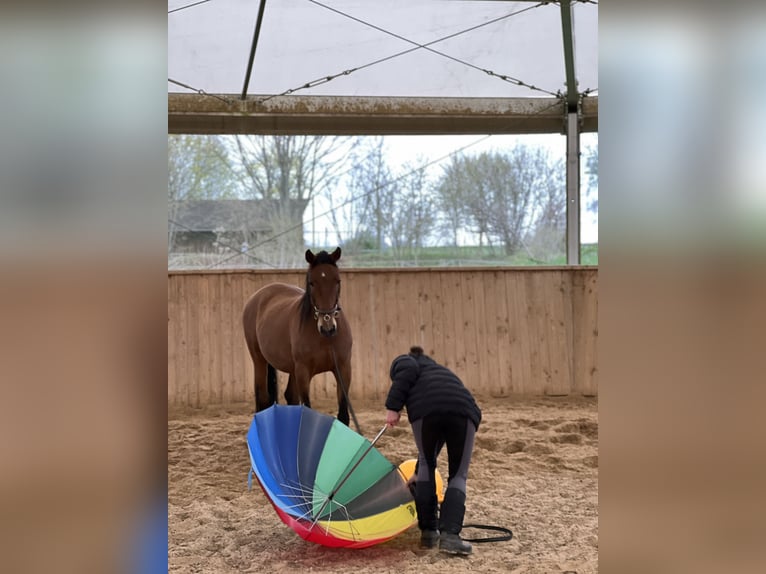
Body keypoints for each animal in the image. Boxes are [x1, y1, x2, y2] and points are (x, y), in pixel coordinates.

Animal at [243, 248, 354, 428]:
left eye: (338, 281)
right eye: (312, 283)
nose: (328, 327)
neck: (325, 340)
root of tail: (258, 296)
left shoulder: (344, 369)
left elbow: (343, 415)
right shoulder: (303, 371)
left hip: (292, 368)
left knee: (290, 396)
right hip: (259, 360)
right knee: (263, 397)